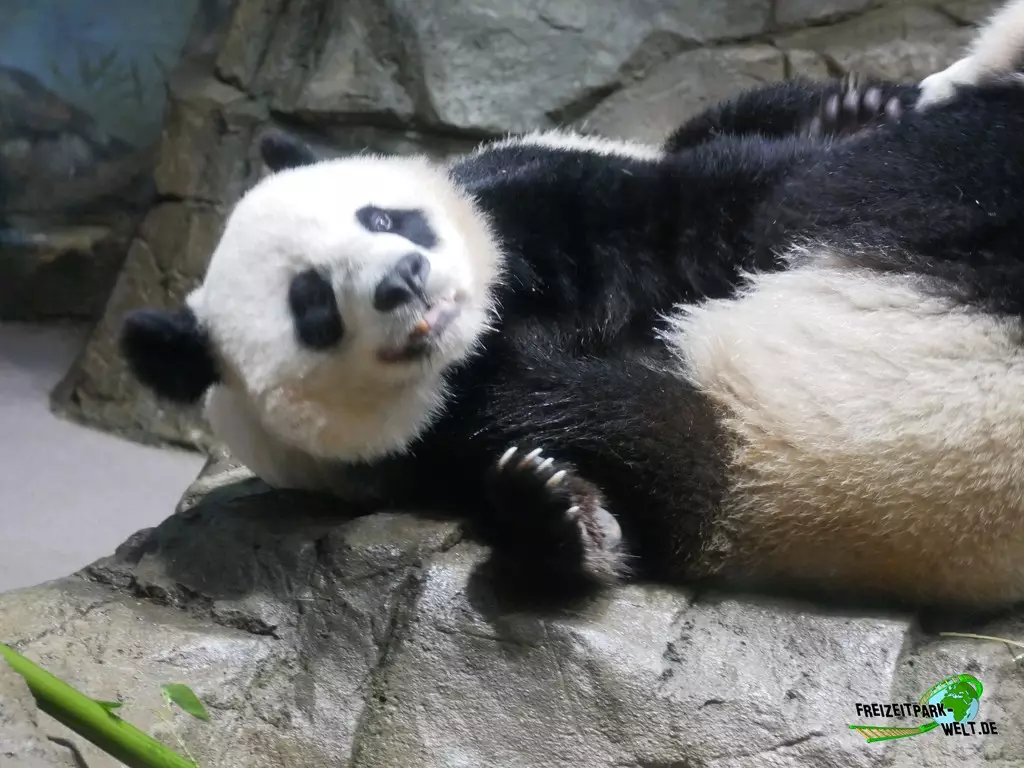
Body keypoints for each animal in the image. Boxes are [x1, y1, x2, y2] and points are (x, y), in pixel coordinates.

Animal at [120, 0, 1024, 611]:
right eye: (312, 308)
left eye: (382, 218)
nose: (404, 279)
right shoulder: (414, 453)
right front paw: (560, 513)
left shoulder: (538, 195)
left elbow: (690, 207)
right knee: (661, 438)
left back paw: (851, 111)